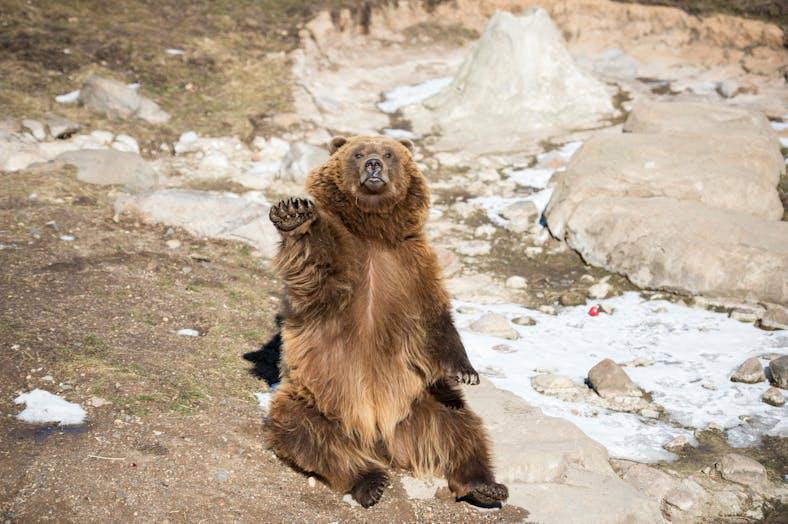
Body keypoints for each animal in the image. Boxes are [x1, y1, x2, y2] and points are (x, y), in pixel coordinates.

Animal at [265, 134, 508, 508]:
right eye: (358, 152)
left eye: (390, 153)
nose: (374, 165)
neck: (374, 232)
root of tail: (380, 439)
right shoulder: (342, 263)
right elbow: (314, 261)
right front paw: (293, 214)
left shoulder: (412, 264)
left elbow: (434, 318)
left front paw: (466, 370)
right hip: (317, 401)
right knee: (307, 434)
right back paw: (370, 481)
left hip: (422, 402)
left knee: (460, 426)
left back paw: (484, 485)